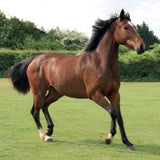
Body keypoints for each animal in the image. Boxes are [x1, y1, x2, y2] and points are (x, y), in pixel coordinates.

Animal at [8, 9, 145, 150]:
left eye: (135, 27)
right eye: (125, 27)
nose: (142, 47)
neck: (99, 62)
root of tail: (34, 58)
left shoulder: (114, 94)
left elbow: (119, 117)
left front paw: (128, 143)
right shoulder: (95, 94)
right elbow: (113, 112)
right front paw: (109, 137)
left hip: (56, 92)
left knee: (44, 105)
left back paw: (49, 130)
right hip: (39, 92)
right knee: (35, 111)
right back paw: (45, 136)